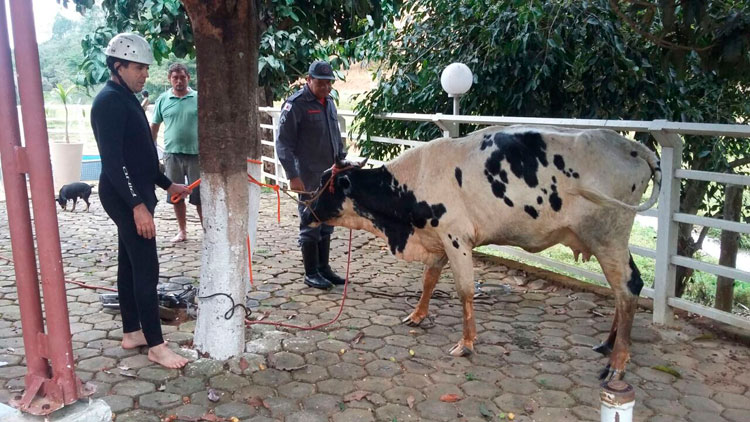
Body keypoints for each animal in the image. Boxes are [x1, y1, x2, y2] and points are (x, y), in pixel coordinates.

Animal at [302, 124, 664, 380]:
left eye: (325, 183)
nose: (306, 210)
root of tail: (632, 146)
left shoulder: (456, 237)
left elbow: (464, 291)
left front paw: (467, 343)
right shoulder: (437, 238)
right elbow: (429, 280)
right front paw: (418, 315)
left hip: (608, 235)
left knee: (628, 286)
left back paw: (618, 361)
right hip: (609, 239)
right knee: (624, 288)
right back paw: (609, 344)